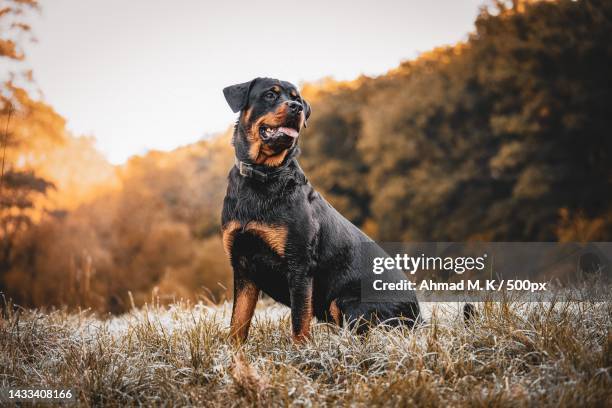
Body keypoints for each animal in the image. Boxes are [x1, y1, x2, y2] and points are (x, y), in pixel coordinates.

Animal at [221, 77, 420, 344]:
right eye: (270, 95)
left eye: (296, 98)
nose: (296, 107)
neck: (263, 175)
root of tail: (419, 316)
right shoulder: (242, 266)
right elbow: (238, 323)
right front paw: (234, 353)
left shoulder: (299, 265)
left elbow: (299, 322)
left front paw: (300, 352)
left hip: (348, 303)